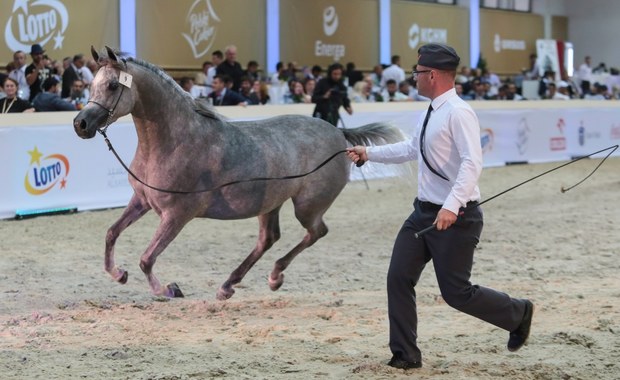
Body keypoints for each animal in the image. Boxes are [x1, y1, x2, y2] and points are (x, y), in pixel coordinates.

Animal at [72, 45, 404, 300]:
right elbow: (111, 233)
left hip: (307, 206)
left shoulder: (177, 214)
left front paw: (168, 290)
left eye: (113, 85)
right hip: (270, 204)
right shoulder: (141, 201)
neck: (175, 141)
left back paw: (273, 276)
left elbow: (146, 259)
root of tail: (339, 133)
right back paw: (229, 285)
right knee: (268, 239)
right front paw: (118, 274)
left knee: (315, 232)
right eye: (91, 85)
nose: (81, 124)